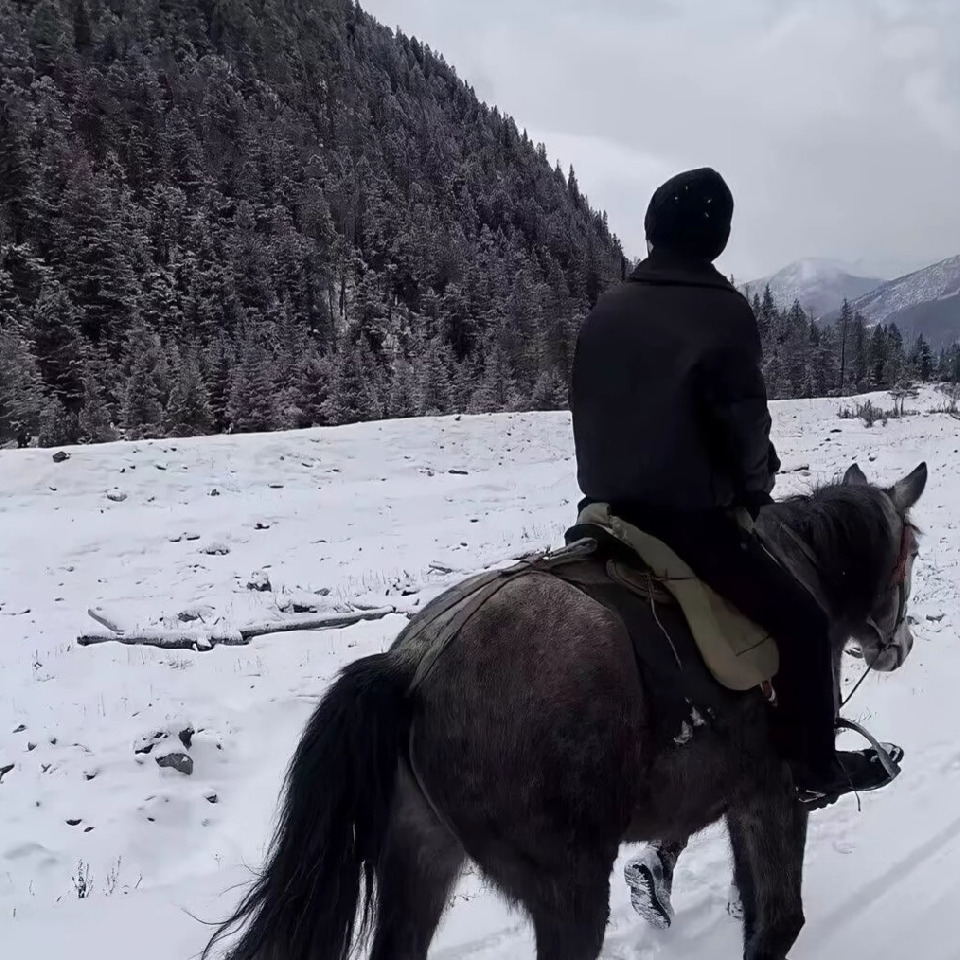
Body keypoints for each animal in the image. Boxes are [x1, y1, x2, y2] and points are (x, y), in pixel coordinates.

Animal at [204, 462, 928, 956]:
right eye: (913, 551)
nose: (900, 645)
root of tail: (412, 669)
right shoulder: (772, 793)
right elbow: (776, 921)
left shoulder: (721, 780)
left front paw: (654, 884)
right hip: (566, 887)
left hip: (420, 857)